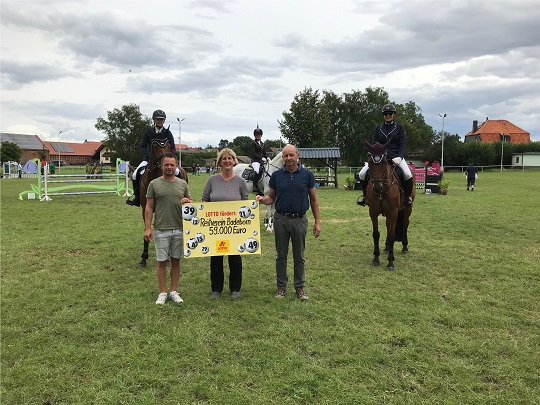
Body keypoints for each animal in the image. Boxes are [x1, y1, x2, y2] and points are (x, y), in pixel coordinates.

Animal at [138, 139, 189, 268]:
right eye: (155, 147)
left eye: (168, 146)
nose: (165, 164)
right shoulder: (145, 209)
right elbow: (146, 230)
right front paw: (144, 258)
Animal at [364, 140, 416, 270]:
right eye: (370, 163)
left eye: (383, 163)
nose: (377, 188)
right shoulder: (373, 212)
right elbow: (376, 234)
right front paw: (376, 258)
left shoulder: (393, 212)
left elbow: (392, 235)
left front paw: (391, 262)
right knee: (388, 227)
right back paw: (387, 248)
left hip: (407, 208)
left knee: (405, 224)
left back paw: (404, 247)